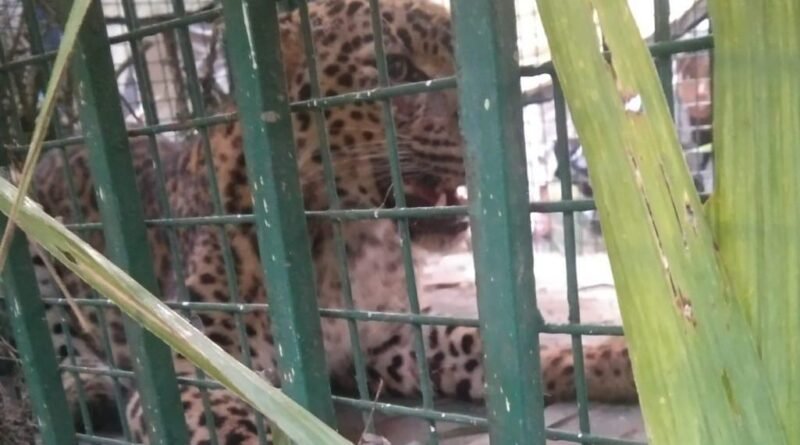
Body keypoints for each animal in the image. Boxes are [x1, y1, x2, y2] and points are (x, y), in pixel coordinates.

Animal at [18, 0, 638, 443]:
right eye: (397, 68)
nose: (516, 113)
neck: (349, 243)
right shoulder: (196, 364)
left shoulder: (388, 341)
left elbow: (479, 344)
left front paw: (620, 362)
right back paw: (88, 386)